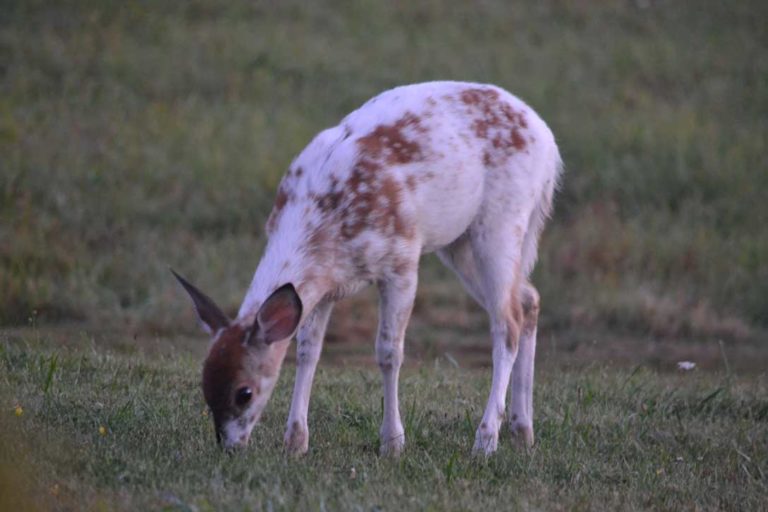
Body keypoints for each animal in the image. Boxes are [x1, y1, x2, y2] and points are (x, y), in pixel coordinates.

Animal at [174, 81, 562, 456]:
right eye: (205, 384)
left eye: (244, 393)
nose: (229, 447)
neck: (327, 229)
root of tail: (549, 143)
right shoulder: (324, 287)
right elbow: (307, 350)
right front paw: (295, 441)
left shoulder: (402, 259)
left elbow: (389, 351)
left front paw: (392, 443)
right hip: (460, 244)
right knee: (529, 298)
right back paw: (522, 431)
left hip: (501, 222)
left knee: (507, 322)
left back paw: (485, 441)